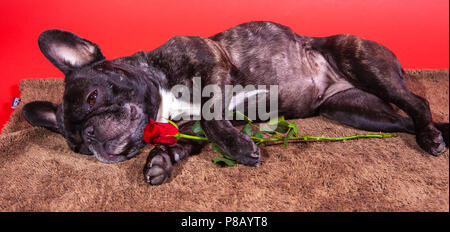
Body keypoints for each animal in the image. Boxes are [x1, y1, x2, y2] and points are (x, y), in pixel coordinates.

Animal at [22, 21, 448, 185]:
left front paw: (239, 148)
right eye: (77, 146)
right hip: (354, 111)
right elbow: (181, 143)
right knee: (405, 117)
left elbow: (212, 115)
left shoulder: (211, 62)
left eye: (93, 97)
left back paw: (430, 138)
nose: (92, 138)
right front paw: (159, 162)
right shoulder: (190, 129)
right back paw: (437, 133)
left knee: (418, 102)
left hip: (361, 61)